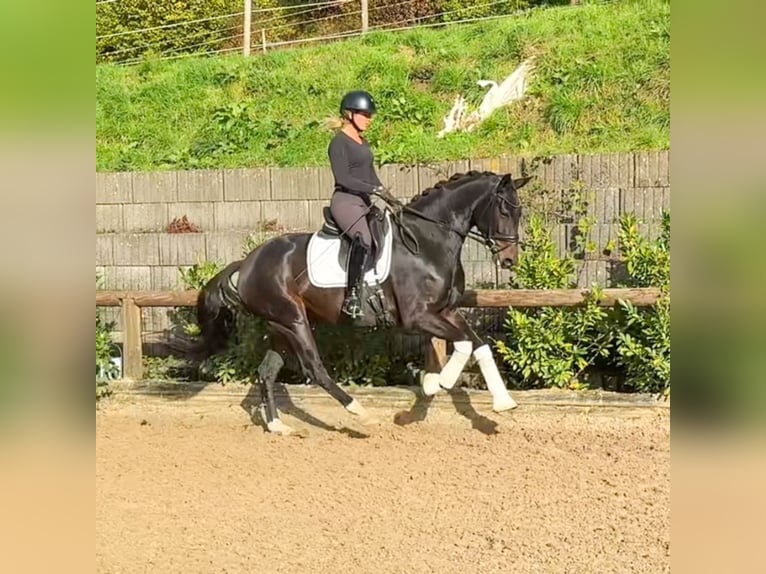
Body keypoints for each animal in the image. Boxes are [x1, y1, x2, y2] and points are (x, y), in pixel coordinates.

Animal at [195, 171, 532, 436]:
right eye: (504, 210)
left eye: (519, 213)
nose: (509, 260)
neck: (428, 241)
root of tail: (247, 263)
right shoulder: (417, 317)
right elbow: (463, 343)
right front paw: (436, 383)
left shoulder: (445, 311)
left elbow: (479, 344)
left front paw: (502, 403)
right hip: (295, 320)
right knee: (315, 368)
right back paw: (360, 412)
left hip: (281, 325)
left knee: (267, 372)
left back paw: (279, 426)